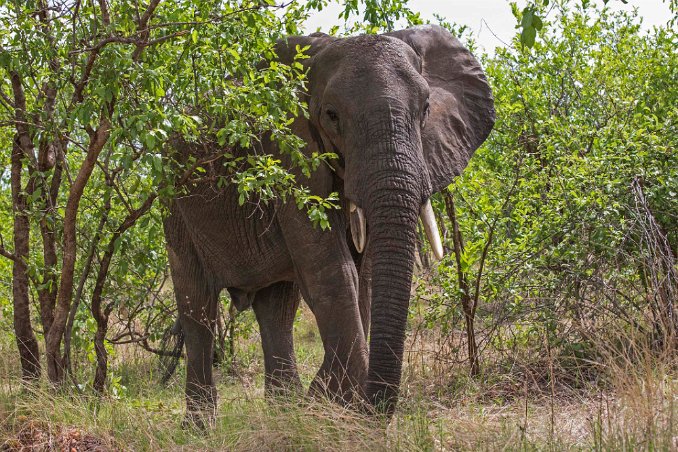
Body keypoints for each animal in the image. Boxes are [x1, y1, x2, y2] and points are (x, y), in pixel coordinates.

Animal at [164, 23, 494, 420]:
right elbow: (334, 271)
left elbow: (364, 277)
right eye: (331, 115)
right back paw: (202, 426)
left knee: (277, 309)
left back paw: (285, 413)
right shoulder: (285, 155)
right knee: (198, 307)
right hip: (174, 204)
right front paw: (337, 405)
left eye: (426, 109)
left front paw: (326, 404)